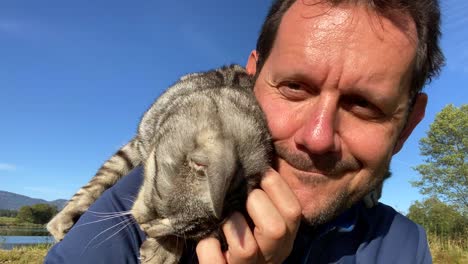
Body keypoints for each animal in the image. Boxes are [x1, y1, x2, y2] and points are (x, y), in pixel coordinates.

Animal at [46, 65, 274, 262]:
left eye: (189, 235)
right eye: (159, 212)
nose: (144, 228)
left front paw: (162, 250)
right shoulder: (137, 143)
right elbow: (101, 178)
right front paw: (63, 217)